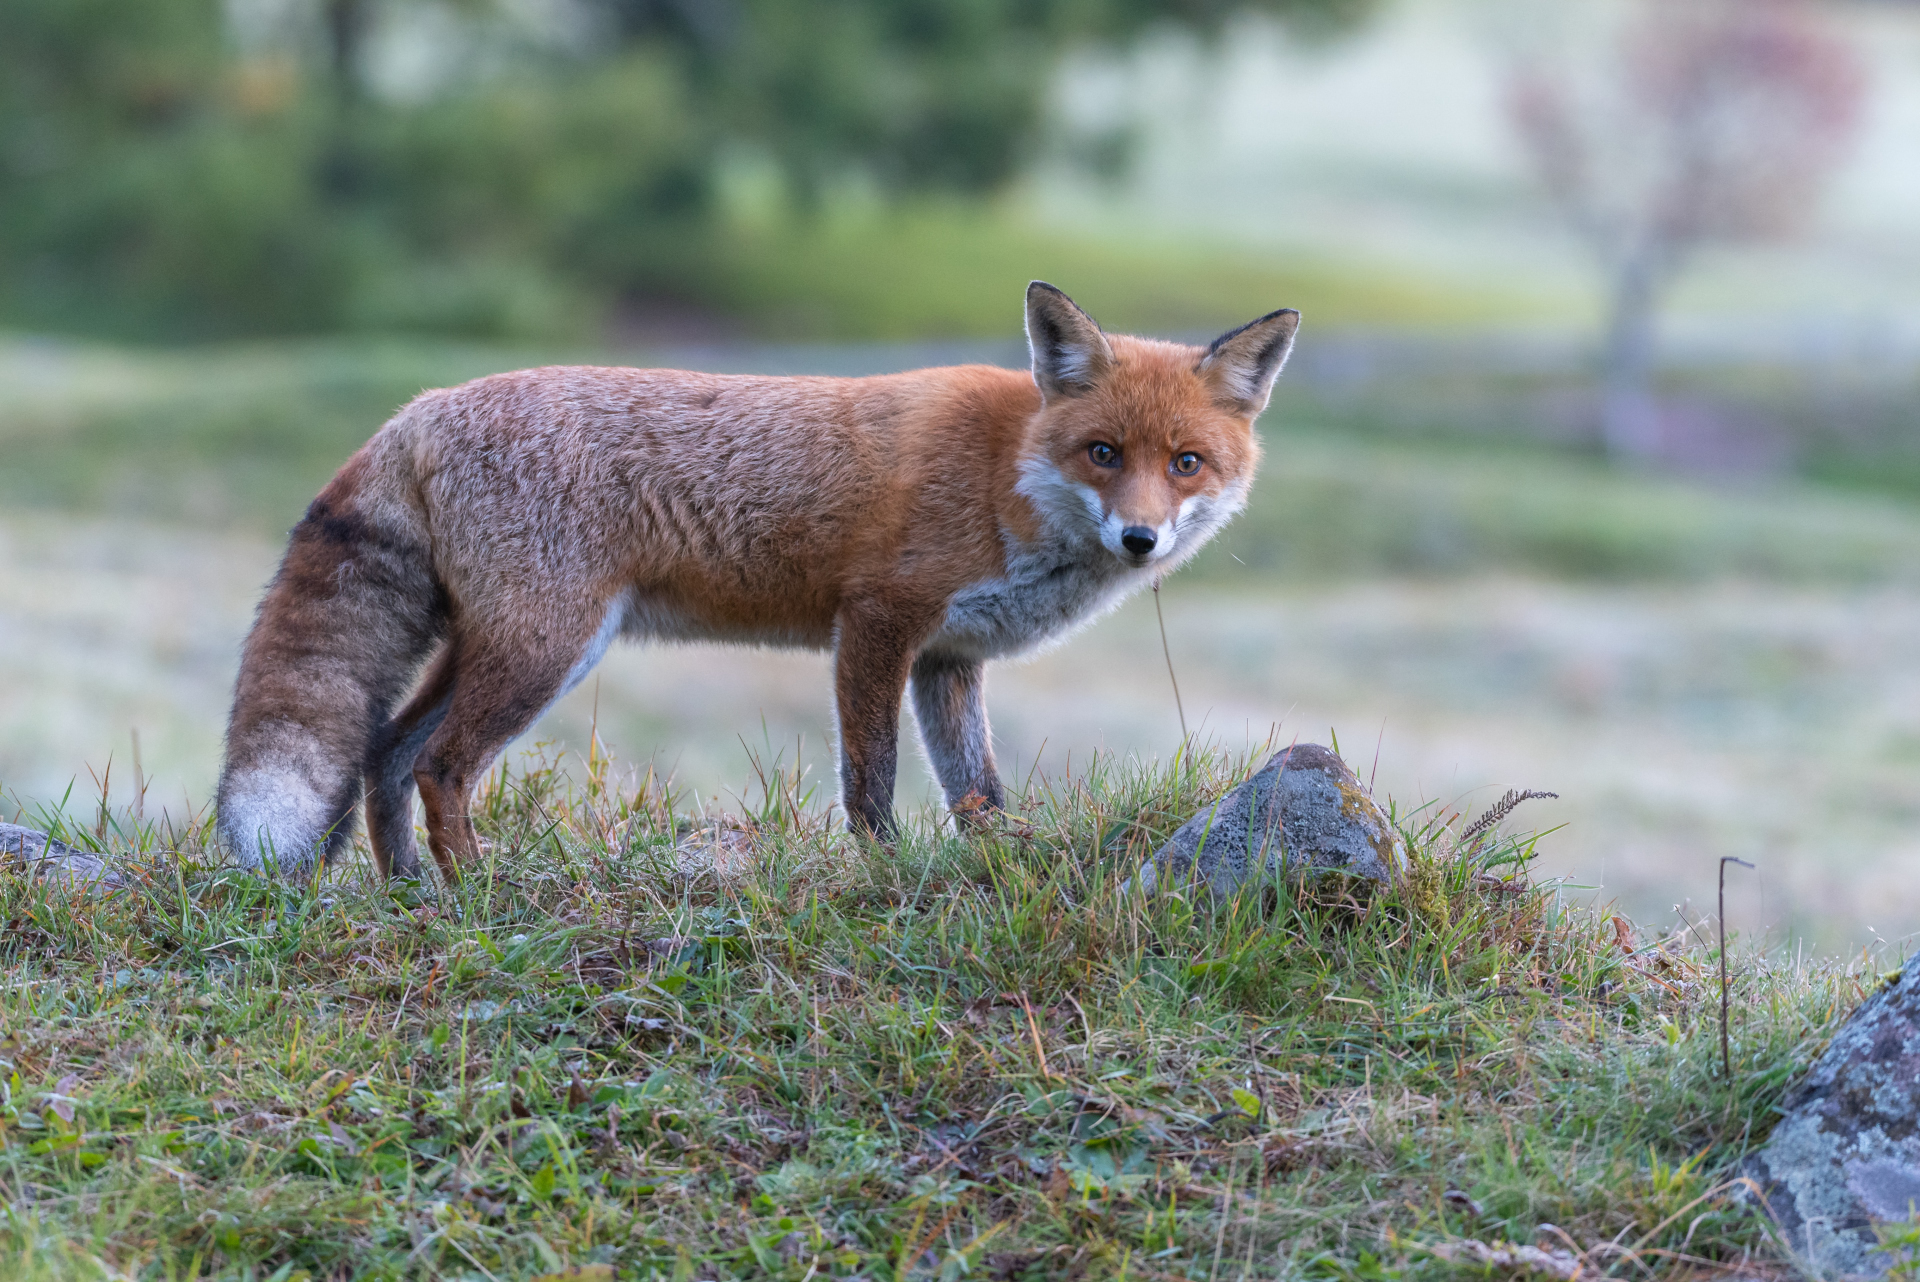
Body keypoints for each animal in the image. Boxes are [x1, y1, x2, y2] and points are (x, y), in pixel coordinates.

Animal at [215, 282, 1298, 882]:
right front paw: (887, 879)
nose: (1140, 538)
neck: (1007, 473)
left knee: (386, 753)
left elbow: (977, 792)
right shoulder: (877, 624)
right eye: (1104, 452)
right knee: (440, 766)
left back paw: (411, 897)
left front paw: (999, 867)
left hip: (496, 645)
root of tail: (424, 405)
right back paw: (478, 892)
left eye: (1187, 463)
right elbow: (871, 783)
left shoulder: (949, 660)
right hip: (545, 649)